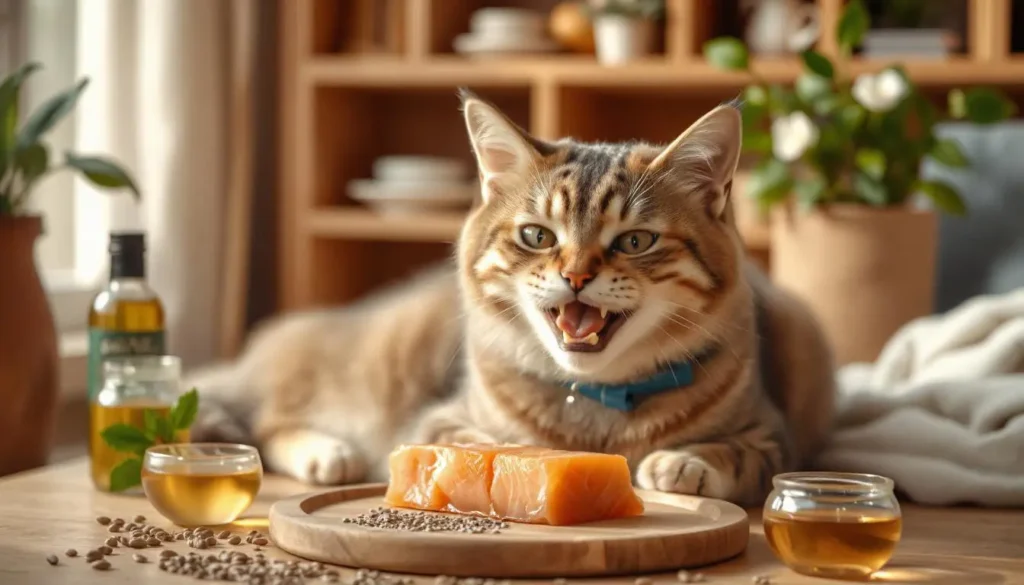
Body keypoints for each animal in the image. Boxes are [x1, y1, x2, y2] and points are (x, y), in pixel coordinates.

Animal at [188, 88, 835, 508]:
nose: (575, 276)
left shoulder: (775, 433)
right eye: (537, 236)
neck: (597, 402)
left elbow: (739, 455)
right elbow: (472, 441)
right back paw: (329, 453)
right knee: (266, 420)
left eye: (635, 240)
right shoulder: (439, 417)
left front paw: (687, 461)